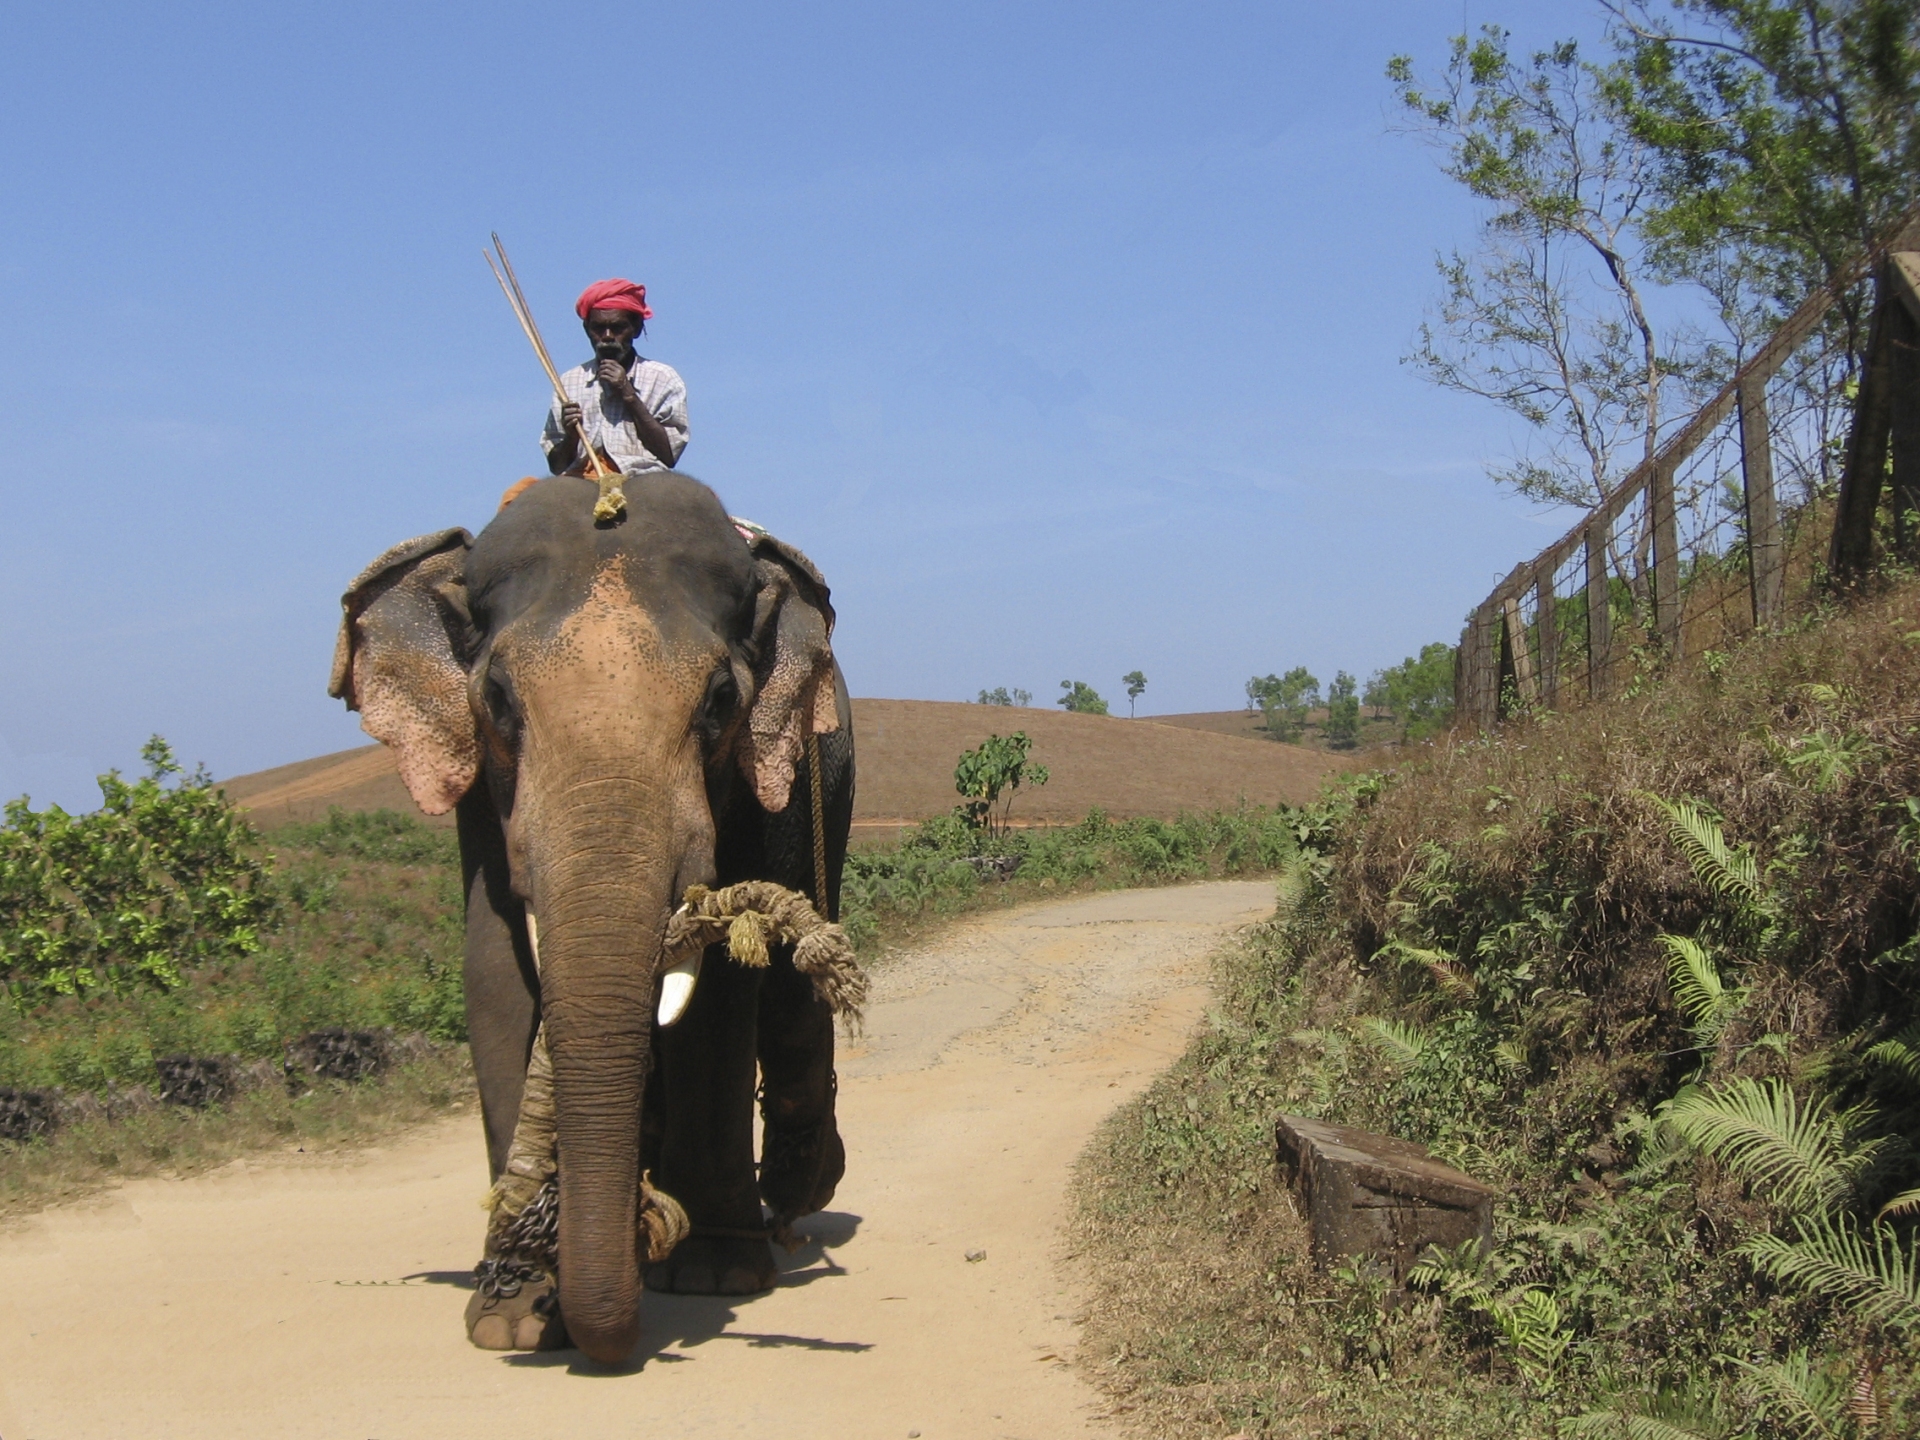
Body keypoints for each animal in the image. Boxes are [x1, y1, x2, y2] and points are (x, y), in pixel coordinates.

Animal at [330, 474, 856, 1367]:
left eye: (722, 700)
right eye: (496, 700)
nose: (610, 1341)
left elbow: (718, 991)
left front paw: (712, 1276)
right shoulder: (482, 793)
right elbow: (495, 975)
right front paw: (513, 1315)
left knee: (790, 1003)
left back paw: (795, 1190)